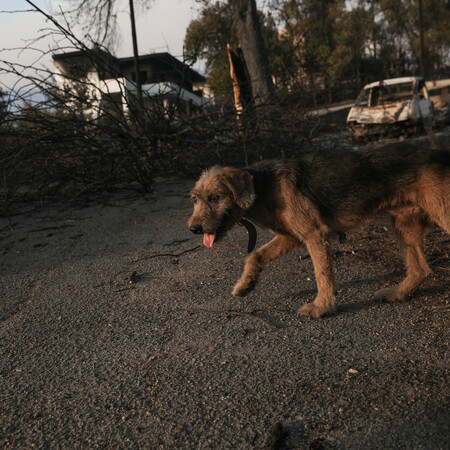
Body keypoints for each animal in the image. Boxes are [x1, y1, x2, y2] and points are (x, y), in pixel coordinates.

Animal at [187, 142, 450, 318]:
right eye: (195, 199)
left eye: (215, 197)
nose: (193, 229)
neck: (262, 186)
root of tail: (442, 154)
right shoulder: (291, 237)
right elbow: (255, 256)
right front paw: (245, 285)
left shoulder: (314, 235)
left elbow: (322, 274)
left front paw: (322, 307)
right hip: (404, 226)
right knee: (420, 269)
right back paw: (397, 293)